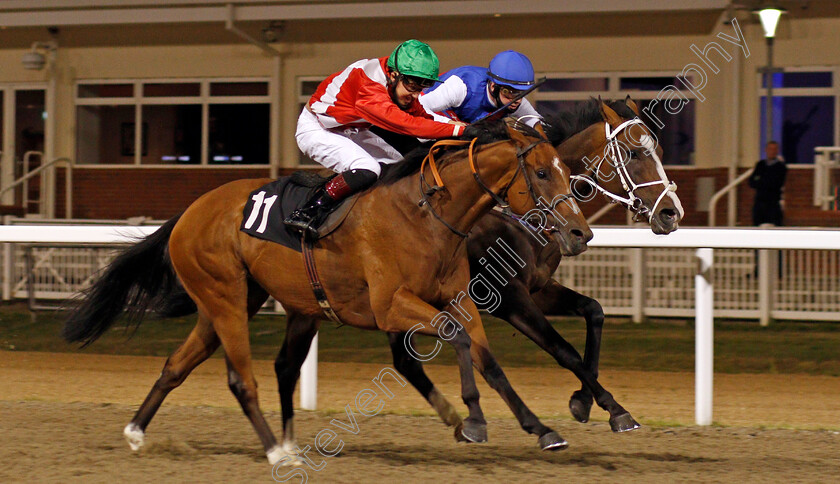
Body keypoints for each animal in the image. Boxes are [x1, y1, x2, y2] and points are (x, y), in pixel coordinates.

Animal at [64, 119, 592, 464]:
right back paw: (278, 453)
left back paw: (137, 433)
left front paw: (541, 429)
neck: (428, 213)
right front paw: (475, 420)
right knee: (242, 379)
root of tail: (190, 212)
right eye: (541, 173)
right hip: (226, 299)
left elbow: (487, 358)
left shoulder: (463, 300)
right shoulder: (391, 307)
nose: (579, 233)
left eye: (567, 171)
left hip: (233, 304)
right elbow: (457, 339)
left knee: (180, 365)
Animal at [384, 98, 684, 434]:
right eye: (633, 153)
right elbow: (563, 349)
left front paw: (583, 400)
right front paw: (614, 409)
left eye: (660, 152)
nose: (672, 213)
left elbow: (594, 311)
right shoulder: (507, 297)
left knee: (405, 361)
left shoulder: (538, 287)